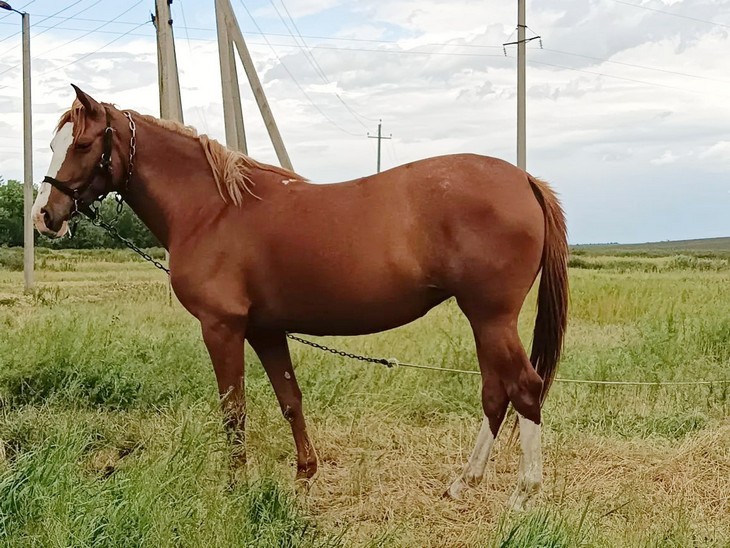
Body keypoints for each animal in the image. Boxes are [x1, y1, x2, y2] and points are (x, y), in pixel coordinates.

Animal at [32, 85, 568, 510]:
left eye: (82, 143)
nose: (44, 215)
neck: (213, 210)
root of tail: (523, 179)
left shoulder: (222, 327)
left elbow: (234, 409)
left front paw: (236, 488)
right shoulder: (265, 329)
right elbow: (290, 400)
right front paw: (304, 476)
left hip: (491, 317)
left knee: (524, 387)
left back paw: (525, 493)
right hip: (484, 320)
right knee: (497, 393)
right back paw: (463, 483)